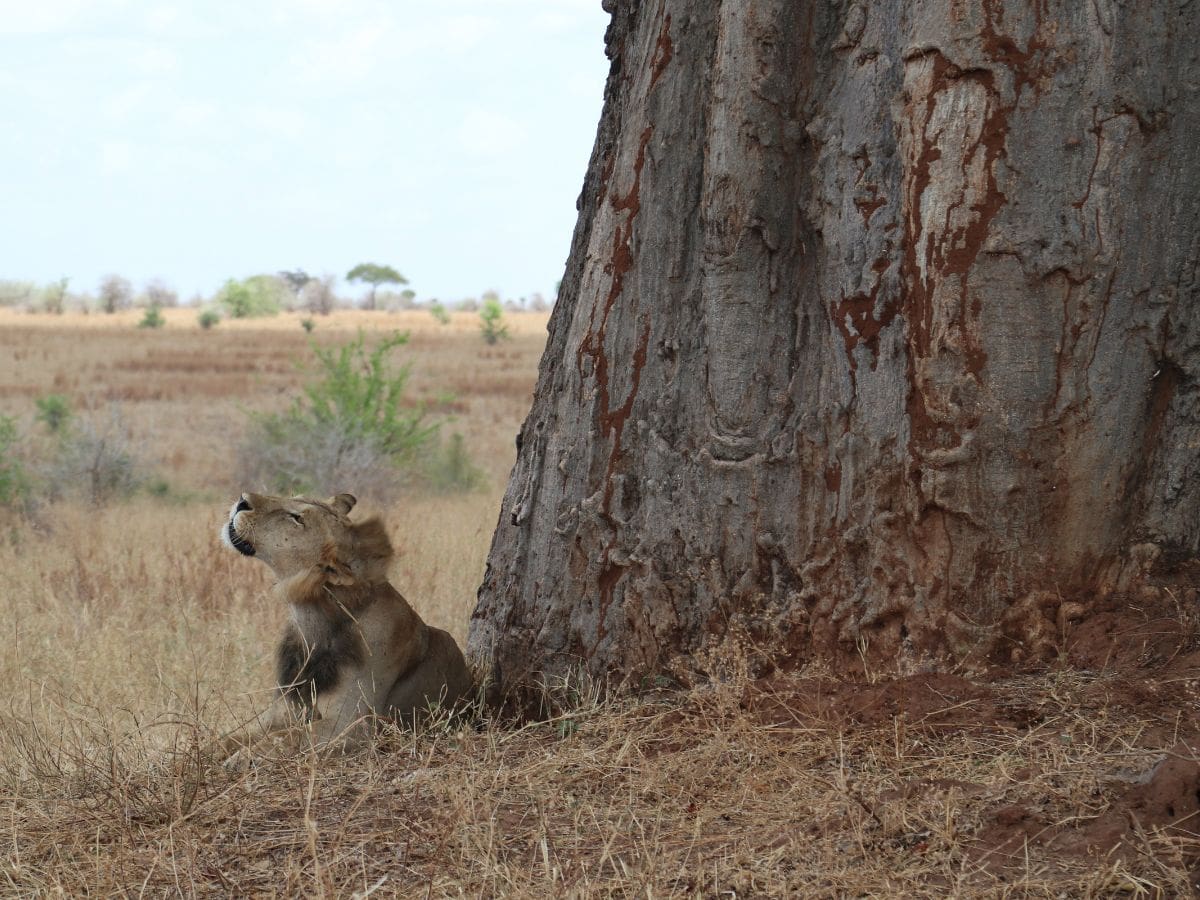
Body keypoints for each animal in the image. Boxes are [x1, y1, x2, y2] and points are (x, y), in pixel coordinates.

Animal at [219, 491, 473, 756]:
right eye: (295, 497)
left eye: (297, 518)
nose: (242, 501)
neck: (312, 620)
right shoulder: (285, 709)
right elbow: (231, 737)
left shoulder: (352, 725)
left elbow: (287, 736)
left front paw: (241, 758)